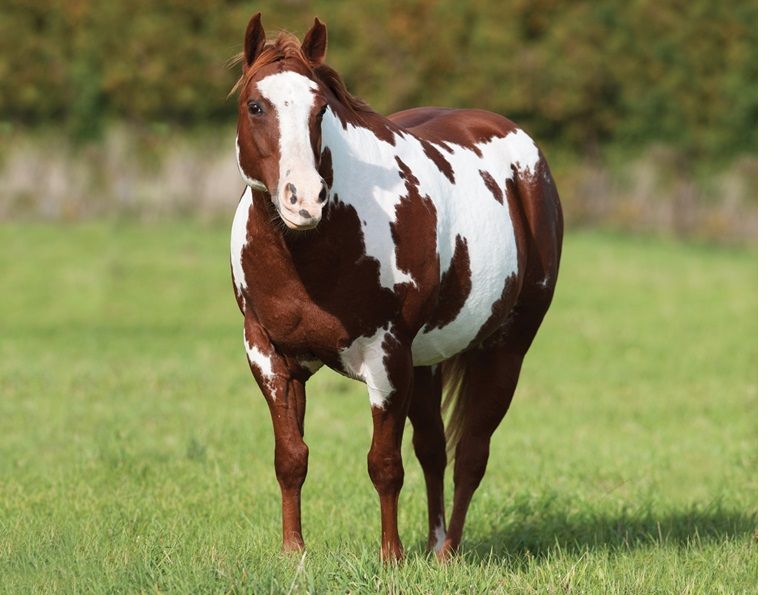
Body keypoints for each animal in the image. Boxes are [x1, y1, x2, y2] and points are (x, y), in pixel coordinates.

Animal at [230, 13, 563, 561]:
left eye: (321, 107)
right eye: (256, 105)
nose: (305, 199)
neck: (308, 255)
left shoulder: (386, 357)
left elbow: (383, 464)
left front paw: (391, 556)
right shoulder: (269, 354)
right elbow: (291, 456)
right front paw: (293, 552)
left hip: (505, 348)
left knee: (471, 453)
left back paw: (447, 553)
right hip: (426, 361)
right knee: (434, 450)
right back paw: (434, 543)